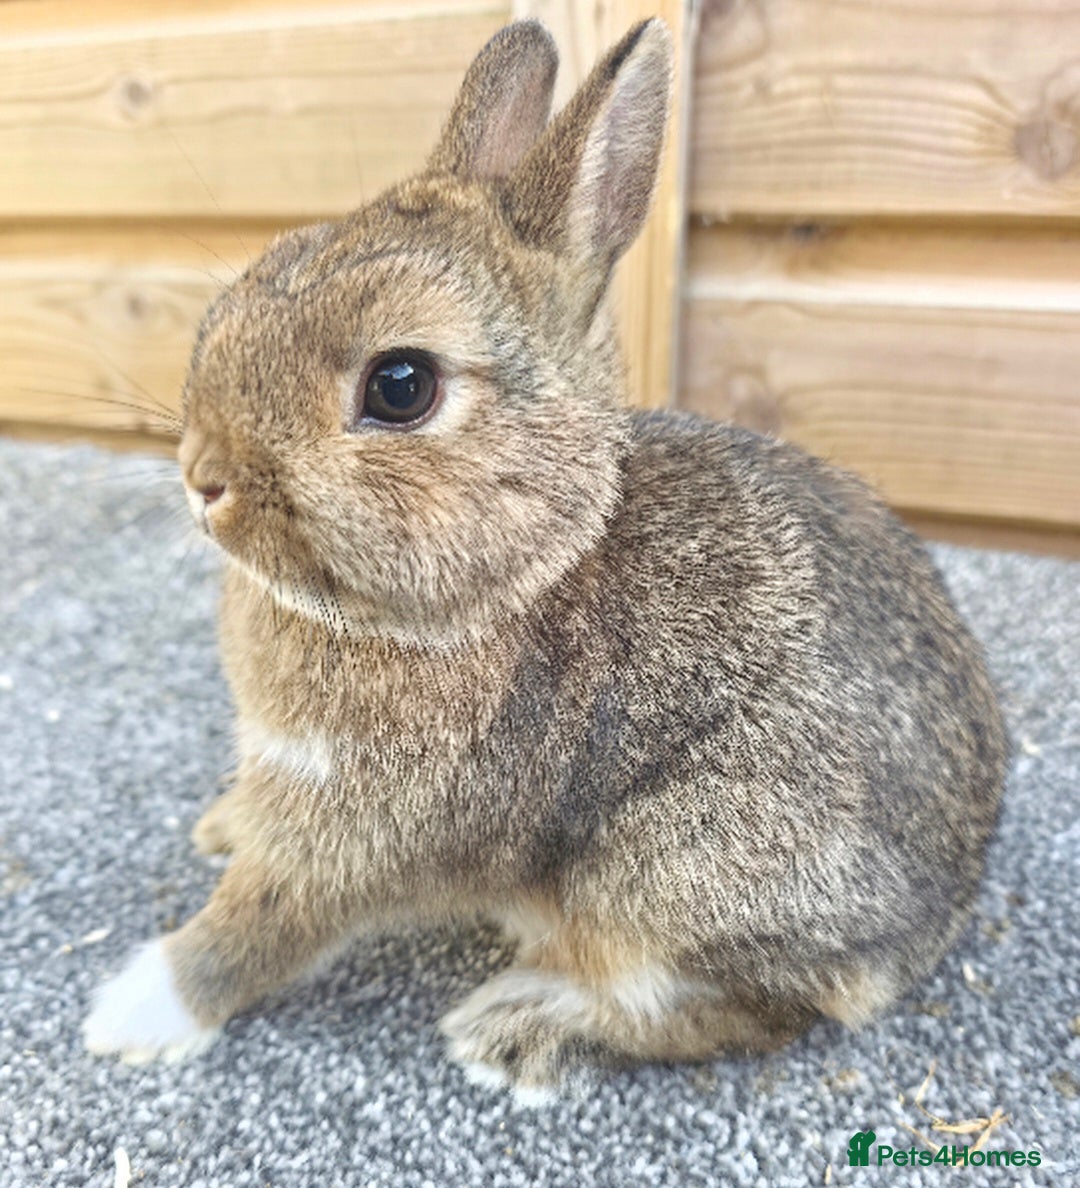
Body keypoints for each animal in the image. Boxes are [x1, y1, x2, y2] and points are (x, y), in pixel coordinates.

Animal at [84, 17, 1007, 1094]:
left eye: (401, 386)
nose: (204, 474)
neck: (520, 574)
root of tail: (935, 921)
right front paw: (222, 826)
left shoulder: (369, 831)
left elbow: (263, 921)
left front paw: (135, 1010)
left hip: (673, 872)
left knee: (734, 1011)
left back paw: (513, 1022)